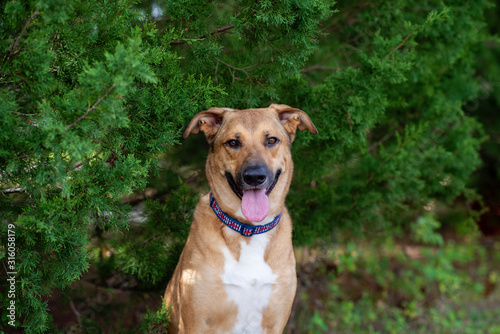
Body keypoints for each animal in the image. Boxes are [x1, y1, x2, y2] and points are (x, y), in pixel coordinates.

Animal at [166, 103, 318, 332]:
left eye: (271, 140)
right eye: (233, 142)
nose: (254, 177)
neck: (249, 230)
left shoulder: (276, 323)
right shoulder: (194, 323)